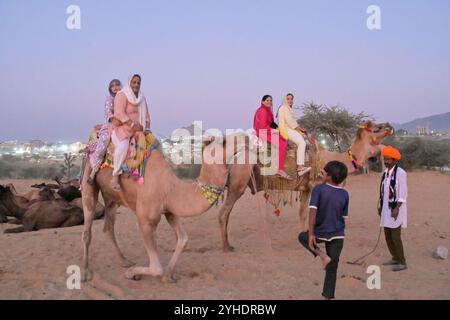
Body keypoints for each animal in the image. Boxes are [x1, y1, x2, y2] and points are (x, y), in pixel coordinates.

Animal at [79, 134, 244, 282]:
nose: (245, 137)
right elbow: (156, 268)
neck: (169, 187)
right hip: (88, 179)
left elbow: (183, 239)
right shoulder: (146, 220)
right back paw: (85, 273)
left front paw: (168, 276)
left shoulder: (170, 210)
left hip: (112, 198)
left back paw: (124, 261)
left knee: (108, 226)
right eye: (224, 141)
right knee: (87, 228)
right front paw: (132, 274)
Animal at [216, 121, 392, 251]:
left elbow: (302, 213)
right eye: (377, 128)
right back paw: (226, 247)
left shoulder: (306, 188)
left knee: (227, 213)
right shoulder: (315, 186)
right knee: (223, 213)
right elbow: (312, 214)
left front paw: (303, 238)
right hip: (238, 185)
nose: (389, 126)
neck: (327, 160)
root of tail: (233, 158)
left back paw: (228, 243)